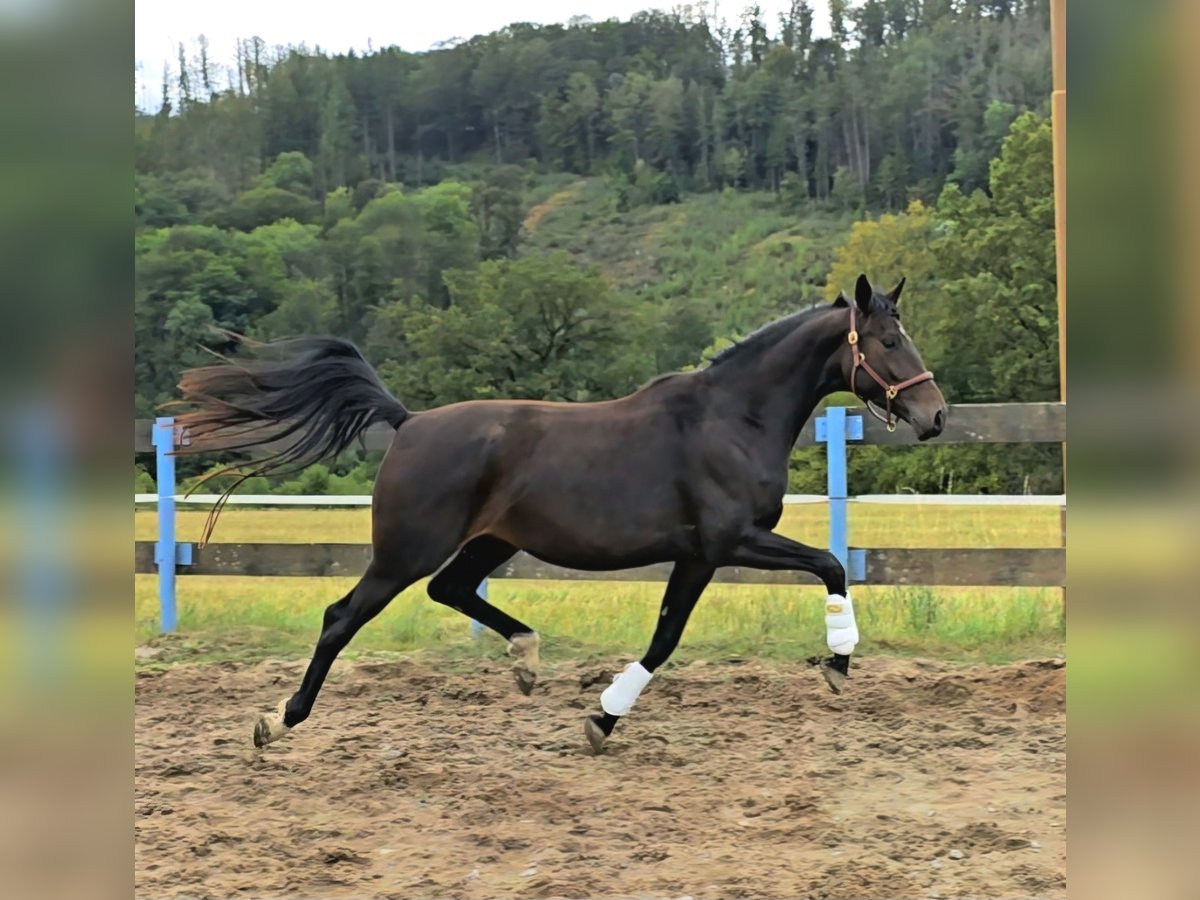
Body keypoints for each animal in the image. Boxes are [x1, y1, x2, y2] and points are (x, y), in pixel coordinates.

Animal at [174, 274, 945, 753]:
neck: (731, 418)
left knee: (450, 589)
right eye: (888, 342)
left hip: (488, 542)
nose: (935, 416)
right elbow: (829, 564)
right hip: (407, 549)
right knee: (343, 616)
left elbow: (667, 637)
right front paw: (838, 663)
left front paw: (602, 719)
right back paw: (278, 722)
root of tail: (409, 422)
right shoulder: (732, 541)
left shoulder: (698, 555)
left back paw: (525, 657)